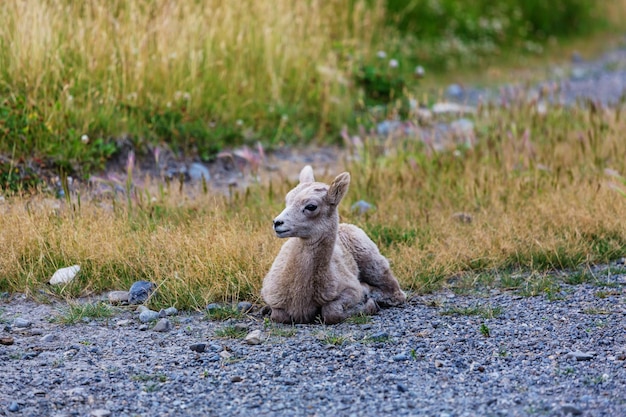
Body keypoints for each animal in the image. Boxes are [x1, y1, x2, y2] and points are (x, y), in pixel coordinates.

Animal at [258, 164, 404, 324]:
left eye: (311, 206)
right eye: (287, 199)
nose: (277, 223)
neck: (300, 294)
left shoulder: (351, 291)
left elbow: (332, 313)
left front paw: (369, 304)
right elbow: (278, 316)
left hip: (373, 263)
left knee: (396, 293)